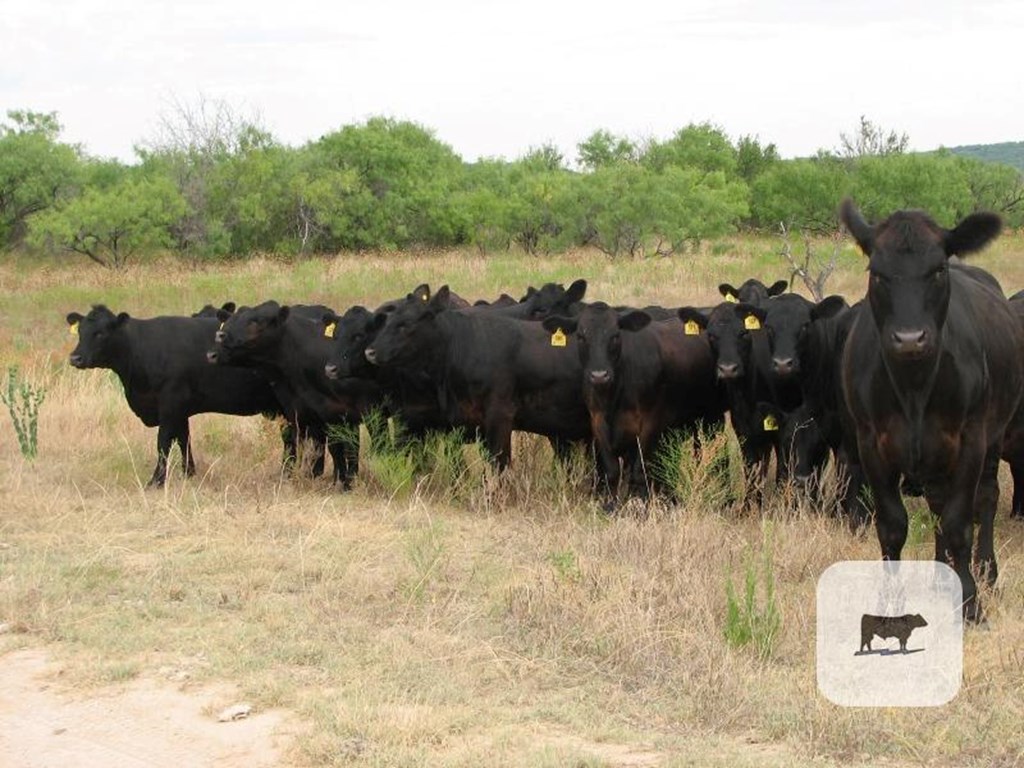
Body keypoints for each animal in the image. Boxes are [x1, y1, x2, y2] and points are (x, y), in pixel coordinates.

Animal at [66, 305, 284, 487]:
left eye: (100, 333)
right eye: (80, 332)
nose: (75, 358)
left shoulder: (170, 403)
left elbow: (163, 442)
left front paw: (157, 480)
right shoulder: (180, 409)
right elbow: (183, 439)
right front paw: (189, 474)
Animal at [540, 303, 724, 501]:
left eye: (615, 336)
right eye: (581, 337)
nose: (599, 376)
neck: (613, 399)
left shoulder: (649, 426)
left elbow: (638, 472)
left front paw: (638, 504)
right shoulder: (598, 425)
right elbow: (612, 471)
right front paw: (610, 504)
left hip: (712, 418)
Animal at [839, 199, 1024, 626]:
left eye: (937, 269)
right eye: (876, 272)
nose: (909, 339)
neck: (914, 387)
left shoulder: (970, 439)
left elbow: (959, 524)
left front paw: (971, 604)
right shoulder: (871, 442)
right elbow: (892, 526)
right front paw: (890, 604)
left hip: (992, 437)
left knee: (985, 499)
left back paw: (986, 572)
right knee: (938, 504)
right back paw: (943, 578)